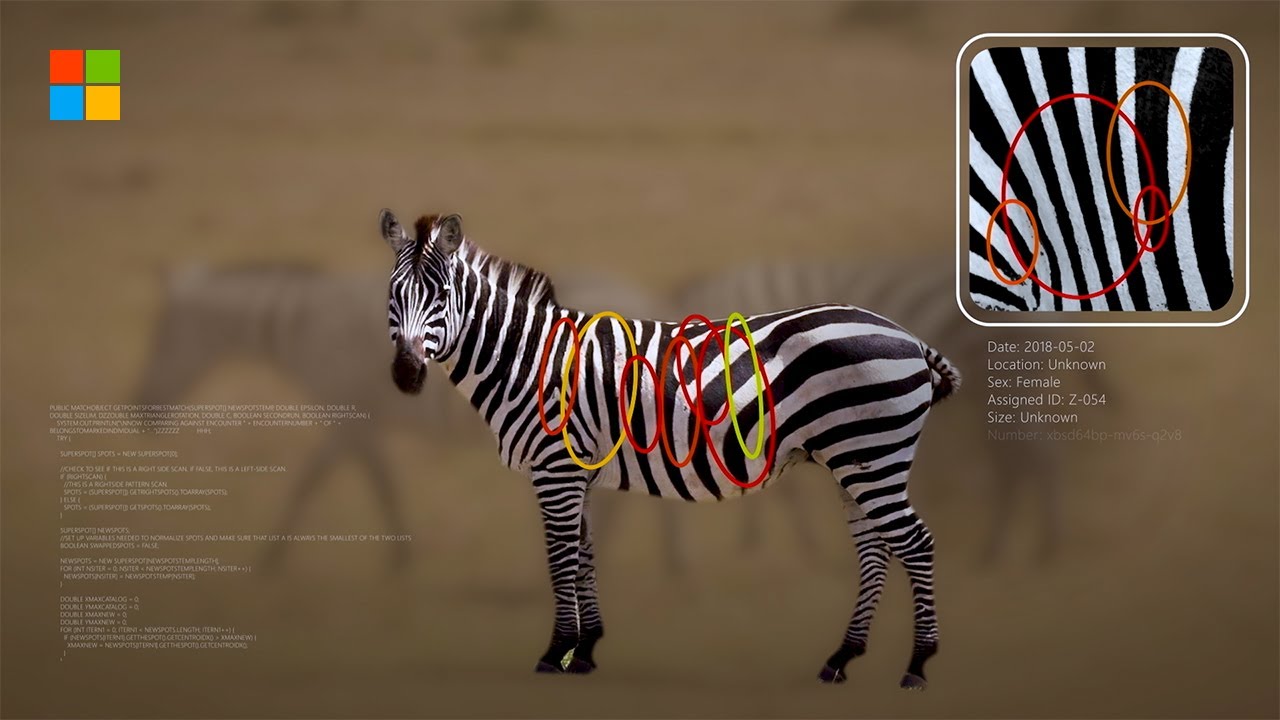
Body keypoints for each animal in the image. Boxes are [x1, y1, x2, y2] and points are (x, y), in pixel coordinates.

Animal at [136, 262, 672, 573]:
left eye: (163, 337)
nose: (137, 410)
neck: (302, 323)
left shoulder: (349, 417)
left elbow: (319, 479)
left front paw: (272, 554)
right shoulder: (359, 422)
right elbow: (377, 480)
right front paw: (400, 556)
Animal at [377, 209, 962, 687]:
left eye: (440, 297)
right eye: (393, 296)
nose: (405, 375)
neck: (529, 360)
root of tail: (908, 336)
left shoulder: (557, 469)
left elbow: (560, 557)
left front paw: (555, 653)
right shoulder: (578, 472)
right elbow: (585, 555)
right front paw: (584, 652)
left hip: (873, 454)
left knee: (916, 543)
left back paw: (917, 666)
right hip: (854, 459)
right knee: (874, 550)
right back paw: (841, 658)